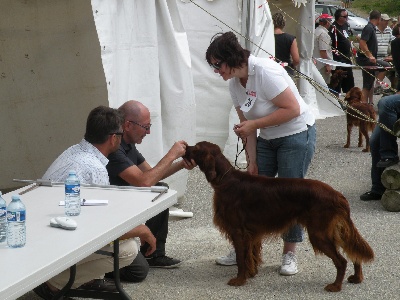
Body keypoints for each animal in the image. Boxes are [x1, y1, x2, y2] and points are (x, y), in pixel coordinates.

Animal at [184, 142, 376, 292]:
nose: (185, 147)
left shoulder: (238, 231)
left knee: (341, 260)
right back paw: (356, 277)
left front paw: (239, 280)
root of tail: (337, 195)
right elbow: (250, 255)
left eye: (197, 148)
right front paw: (251, 273)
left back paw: (335, 286)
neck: (225, 180)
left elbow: (241, 258)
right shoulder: (250, 233)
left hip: (319, 233)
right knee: (352, 251)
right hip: (333, 229)